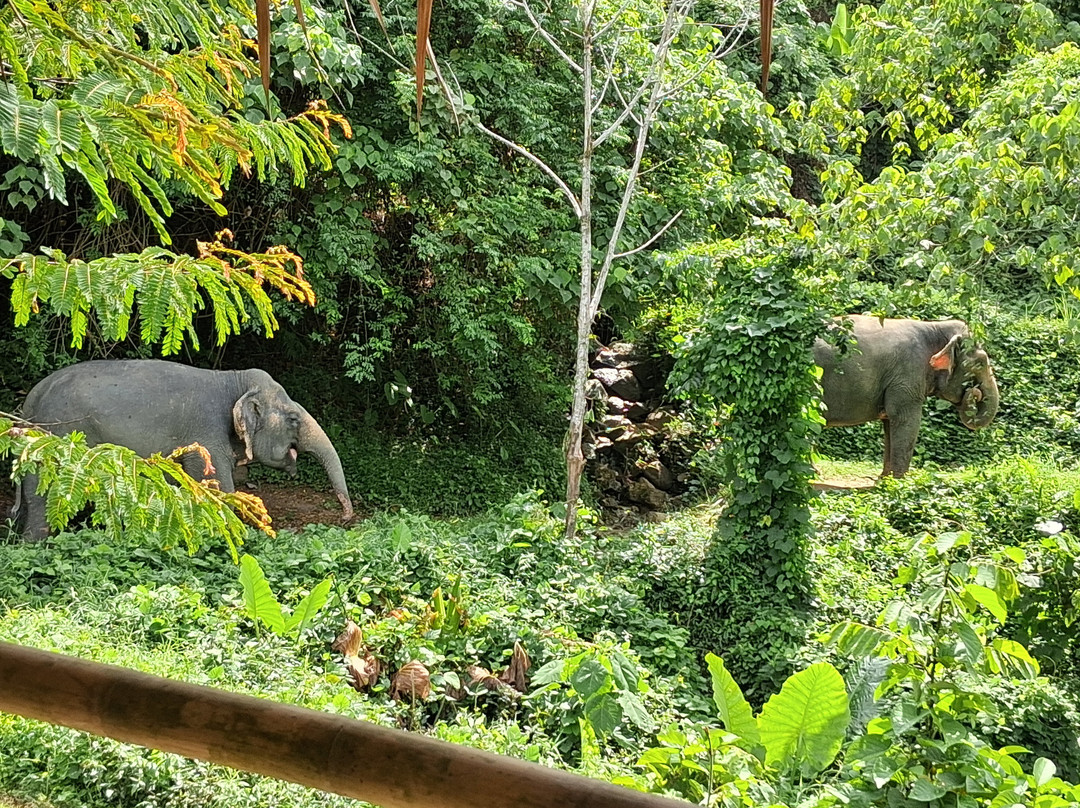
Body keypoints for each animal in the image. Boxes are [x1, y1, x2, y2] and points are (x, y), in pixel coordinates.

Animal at [9, 359, 353, 540]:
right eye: (293, 419)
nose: (347, 516)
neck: (233, 381)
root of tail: (30, 400)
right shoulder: (206, 434)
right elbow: (219, 489)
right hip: (57, 439)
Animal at [814, 316, 999, 477]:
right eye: (980, 363)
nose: (975, 392)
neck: (935, 327)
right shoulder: (908, 373)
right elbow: (905, 419)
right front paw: (899, 482)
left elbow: (890, 422)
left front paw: (885, 479)